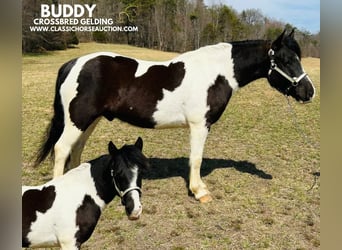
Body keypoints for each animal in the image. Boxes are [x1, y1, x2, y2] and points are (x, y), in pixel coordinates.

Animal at [34, 28, 316, 203]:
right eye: (287, 60)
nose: (309, 91)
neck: (217, 72)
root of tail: (74, 63)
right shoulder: (200, 125)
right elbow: (196, 159)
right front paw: (199, 191)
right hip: (78, 120)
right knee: (61, 149)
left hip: (89, 120)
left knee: (76, 148)